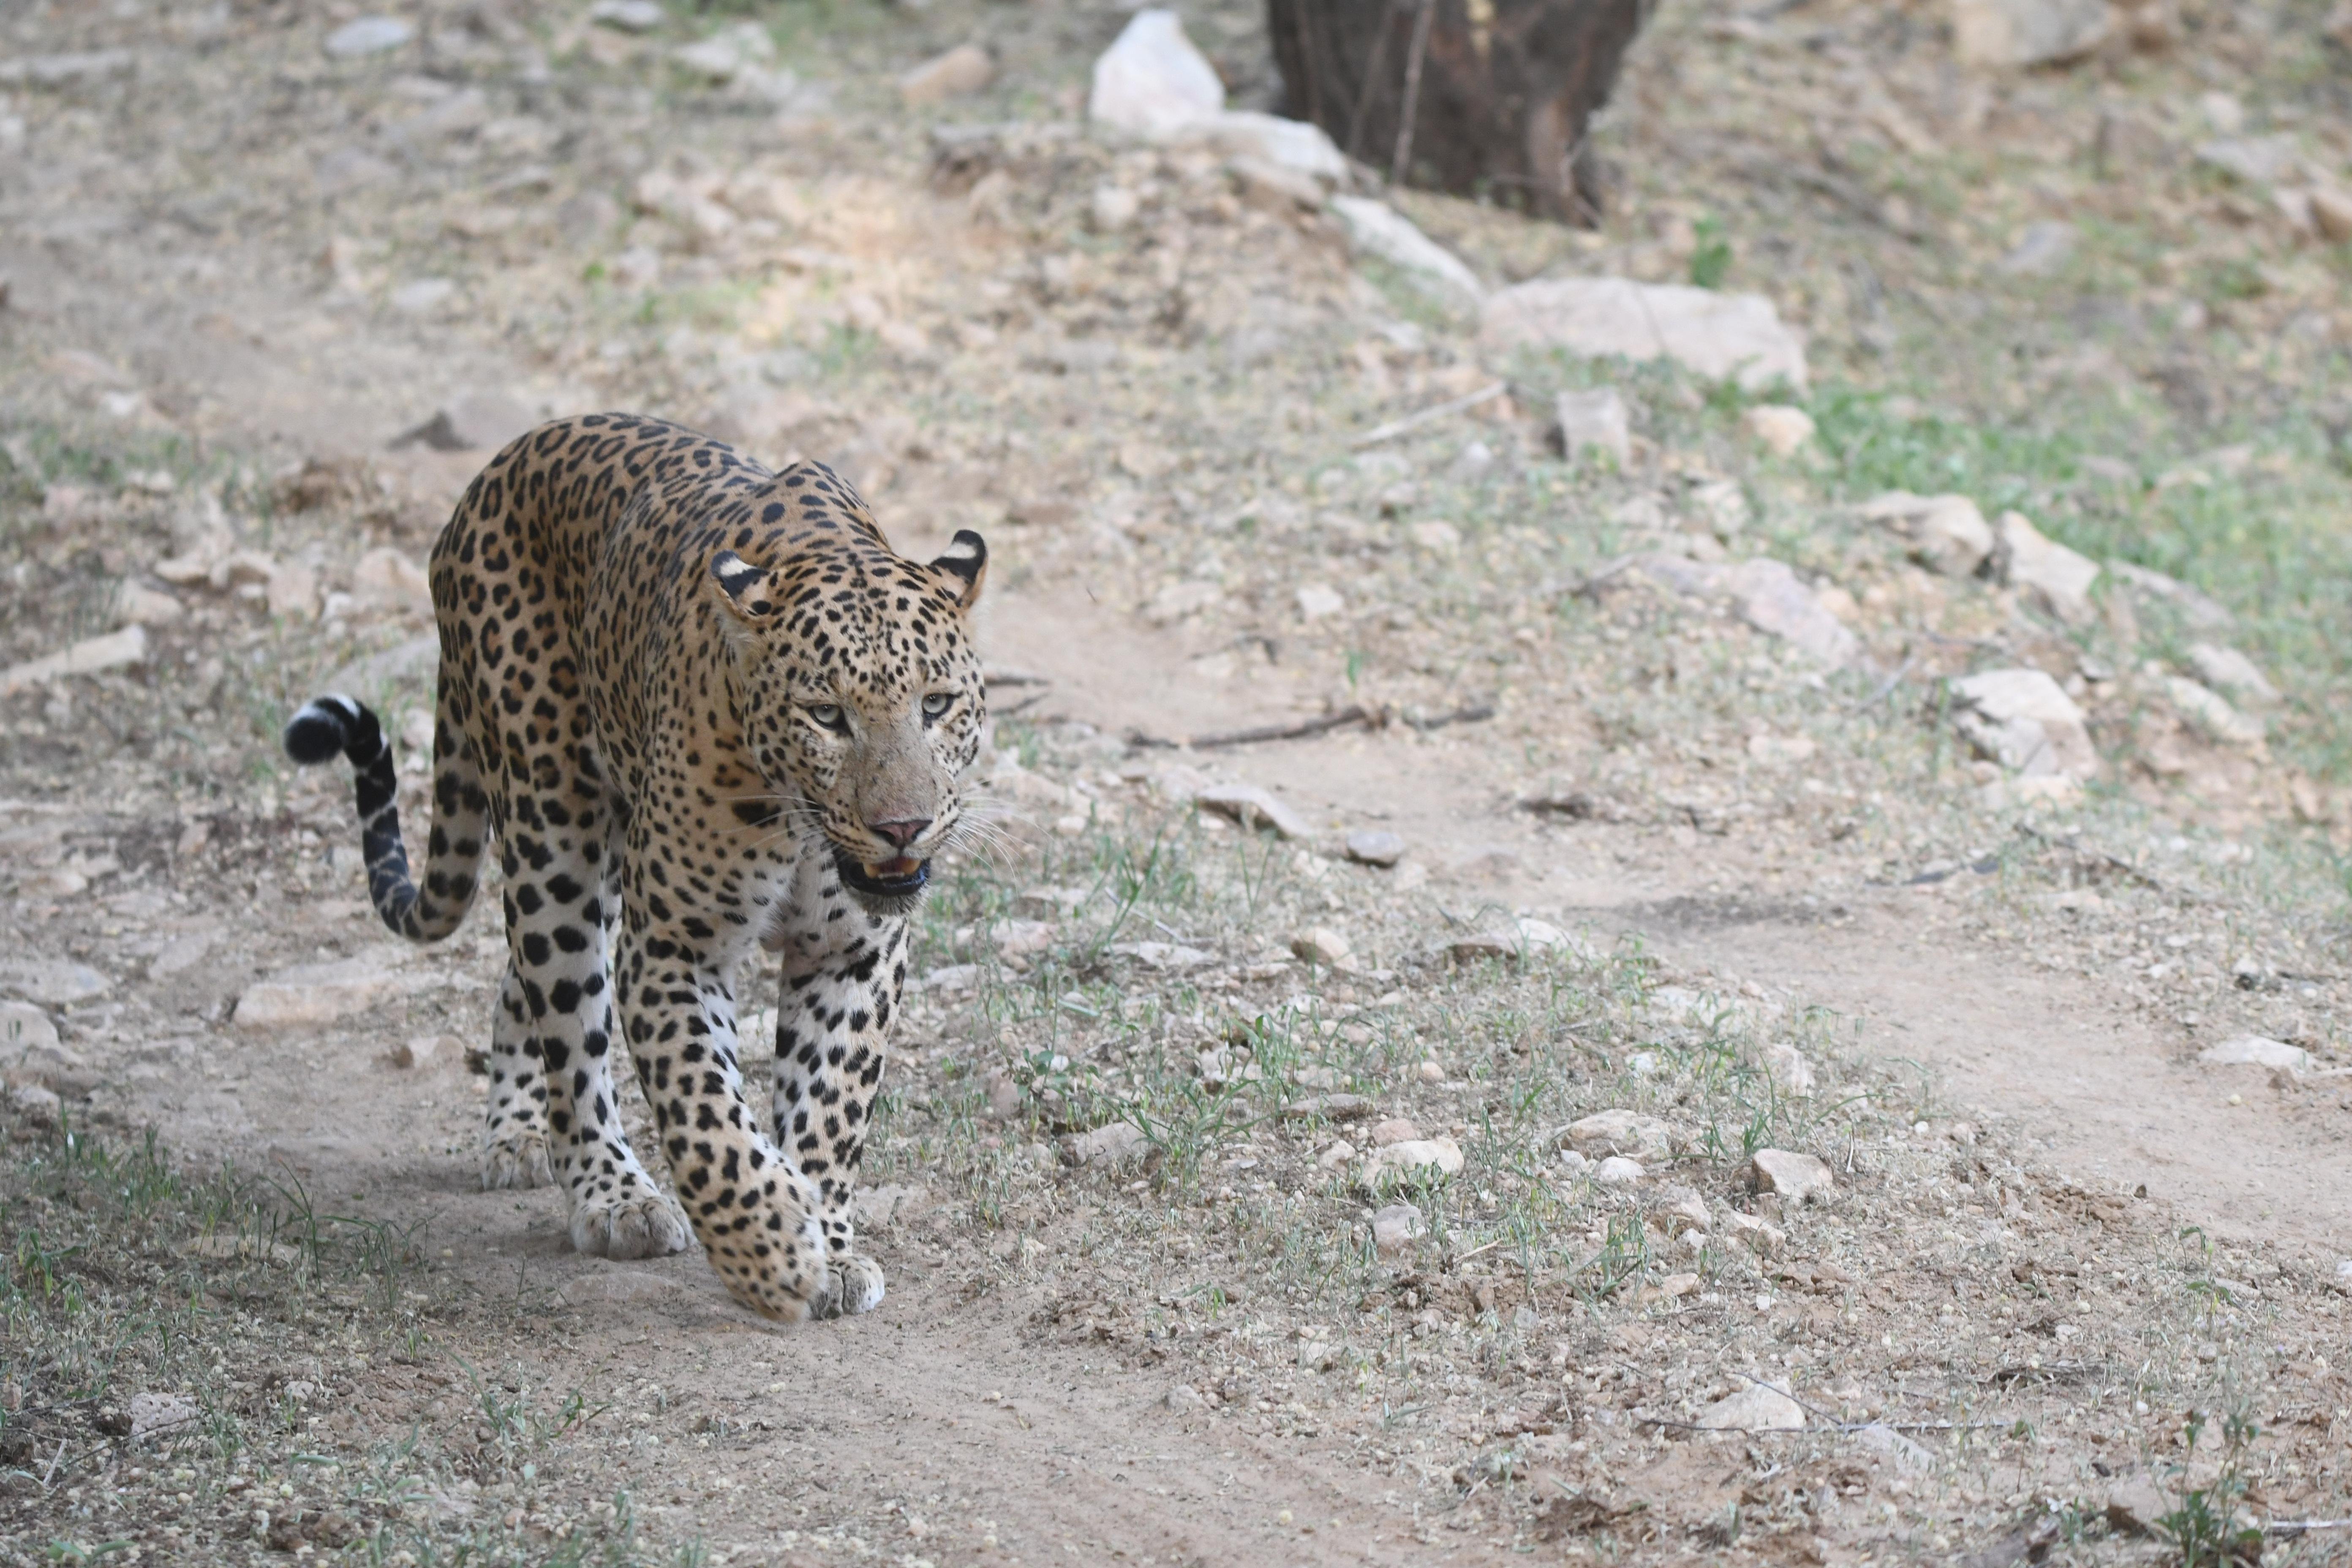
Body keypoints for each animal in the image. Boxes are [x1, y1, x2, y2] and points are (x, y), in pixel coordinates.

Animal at [282, 412, 988, 1321]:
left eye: (936, 704)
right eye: (826, 715)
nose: (901, 827)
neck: (799, 823)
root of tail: (494, 471)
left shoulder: (854, 952)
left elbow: (830, 1103)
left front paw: (826, 1245)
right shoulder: (675, 947)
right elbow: (707, 1114)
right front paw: (769, 1252)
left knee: (520, 985)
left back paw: (519, 1131)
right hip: (553, 831)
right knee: (567, 1023)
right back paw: (610, 1192)